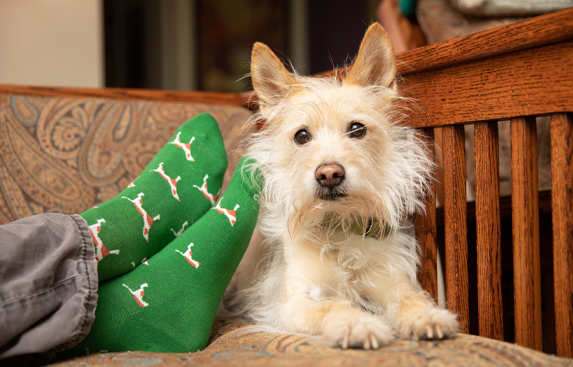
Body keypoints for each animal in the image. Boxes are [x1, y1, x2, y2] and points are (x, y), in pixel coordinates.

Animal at [225, 23, 460, 350]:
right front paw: (357, 323)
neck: (340, 227)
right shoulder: (291, 304)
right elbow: (332, 305)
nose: (329, 174)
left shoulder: (392, 283)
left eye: (357, 129)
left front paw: (427, 316)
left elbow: (412, 299)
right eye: (301, 136)